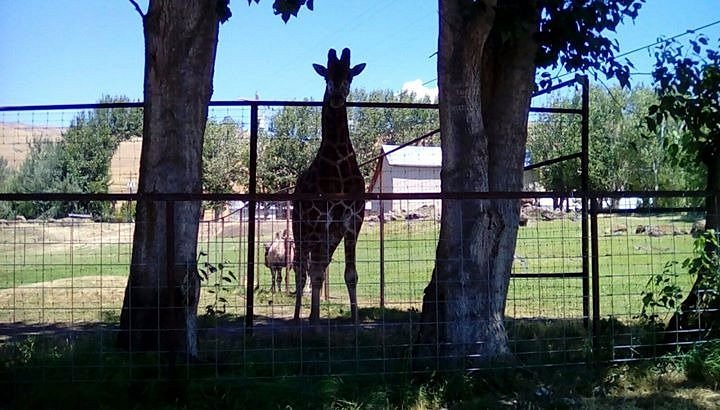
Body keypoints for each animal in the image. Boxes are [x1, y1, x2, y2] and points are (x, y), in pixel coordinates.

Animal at [292, 48, 366, 324]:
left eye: (350, 75)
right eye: (326, 76)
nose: (336, 97)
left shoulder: (353, 219)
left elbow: (351, 274)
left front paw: (356, 322)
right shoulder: (320, 218)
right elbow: (313, 274)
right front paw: (312, 321)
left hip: (330, 236)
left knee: (318, 266)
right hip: (302, 230)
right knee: (302, 269)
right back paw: (298, 319)